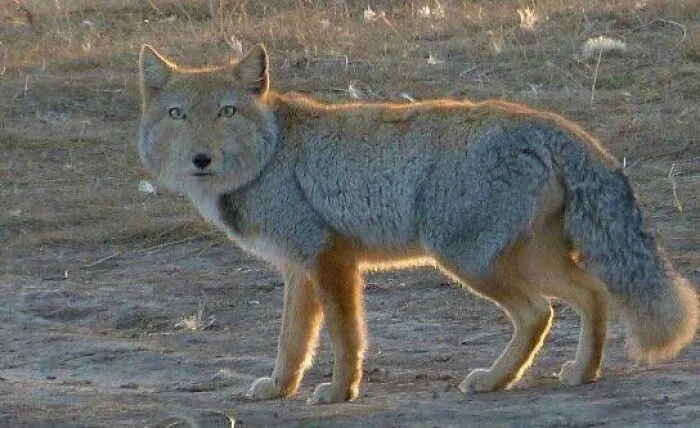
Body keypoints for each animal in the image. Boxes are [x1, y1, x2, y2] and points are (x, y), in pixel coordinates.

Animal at [137, 44, 698, 404]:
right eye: (177, 114)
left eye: (227, 112)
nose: (201, 159)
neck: (272, 153)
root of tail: (541, 120)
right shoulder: (299, 269)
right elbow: (292, 341)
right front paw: (279, 388)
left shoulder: (329, 258)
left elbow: (344, 336)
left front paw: (340, 391)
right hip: (528, 259)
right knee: (593, 294)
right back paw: (582, 373)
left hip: (468, 261)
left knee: (539, 313)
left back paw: (494, 381)